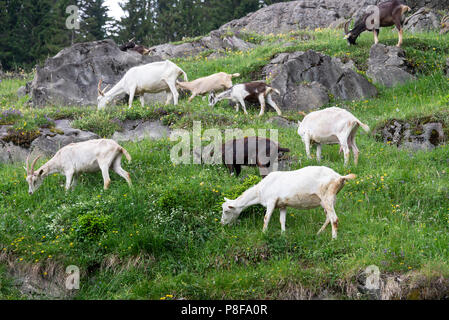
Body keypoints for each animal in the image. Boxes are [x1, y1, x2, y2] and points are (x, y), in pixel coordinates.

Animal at [221, 166, 356, 239]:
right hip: (330, 199)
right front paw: (283, 234)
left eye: (226, 211)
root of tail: (340, 177)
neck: (260, 192)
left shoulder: (271, 201)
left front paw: (263, 233)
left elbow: (266, 218)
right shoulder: (282, 205)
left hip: (327, 197)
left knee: (334, 219)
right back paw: (318, 233)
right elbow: (282, 220)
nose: (222, 223)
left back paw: (333, 239)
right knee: (328, 217)